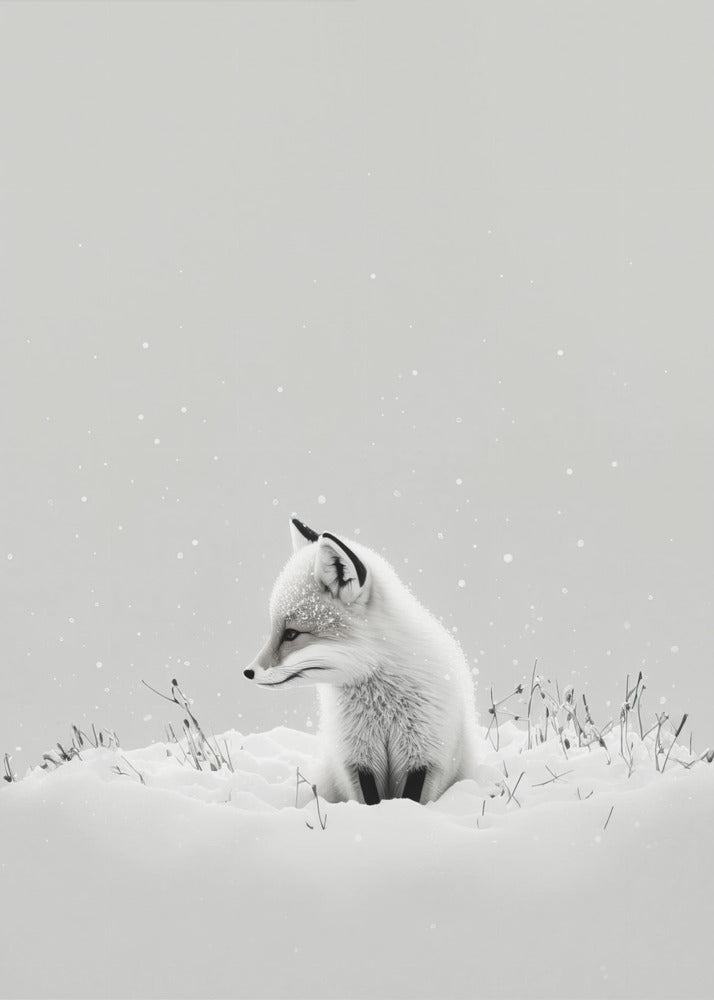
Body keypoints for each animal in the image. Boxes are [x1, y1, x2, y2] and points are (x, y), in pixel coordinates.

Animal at [243, 517, 480, 805]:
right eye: (275, 630)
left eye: (291, 634)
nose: (248, 672)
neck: (383, 706)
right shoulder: (357, 759)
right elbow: (370, 800)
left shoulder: (424, 755)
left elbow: (410, 799)